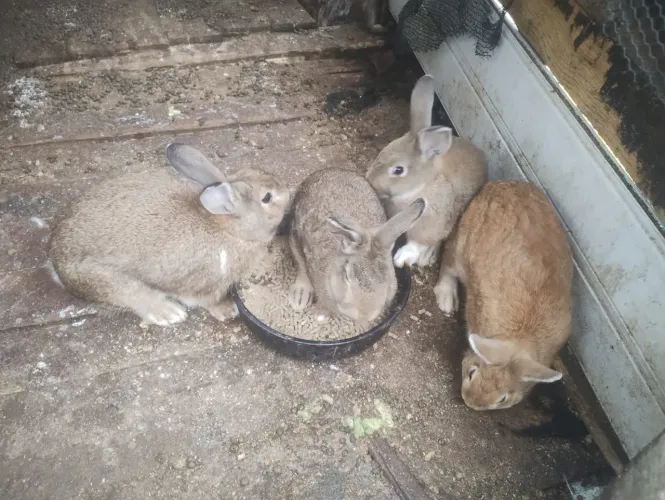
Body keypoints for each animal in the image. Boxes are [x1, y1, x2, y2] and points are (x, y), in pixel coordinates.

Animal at [49, 143, 290, 327]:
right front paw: (228, 310)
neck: (231, 229)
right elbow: (207, 302)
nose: (286, 190)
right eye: (267, 198)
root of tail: (56, 262)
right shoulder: (207, 285)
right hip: (111, 283)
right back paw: (170, 313)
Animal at [287, 168, 425, 326]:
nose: (366, 314)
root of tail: (329, 170)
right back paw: (300, 297)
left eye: (389, 278)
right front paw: (321, 316)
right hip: (294, 235)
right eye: (347, 276)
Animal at [365, 74, 488, 285]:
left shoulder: (431, 222)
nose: (370, 179)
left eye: (398, 170)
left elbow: (419, 241)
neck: (421, 185)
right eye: (383, 151)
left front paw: (402, 257)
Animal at [436, 180, 573, 410]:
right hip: (461, 247)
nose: (470, 402)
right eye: (472, 373)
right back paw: (446, 299)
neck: (520, 337)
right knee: (448, 263)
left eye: (502, 398)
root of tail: (500, 183)